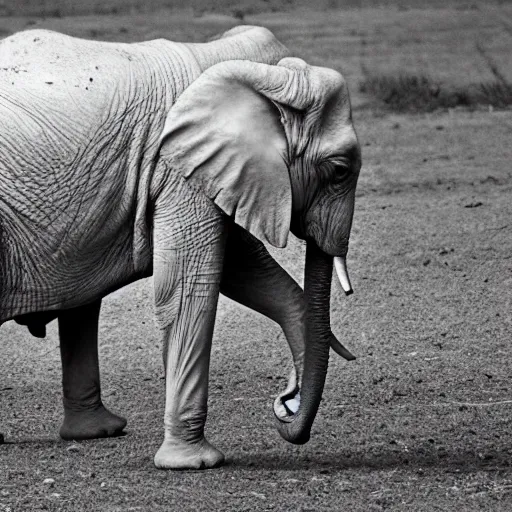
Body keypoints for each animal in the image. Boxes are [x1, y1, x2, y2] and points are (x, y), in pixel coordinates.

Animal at [0, 25, 360, 472]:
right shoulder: (175, 168)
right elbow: (190, 290)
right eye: (340, 170)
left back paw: (97, 432)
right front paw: (195, 464)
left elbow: (245, 269)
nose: (284, 406)